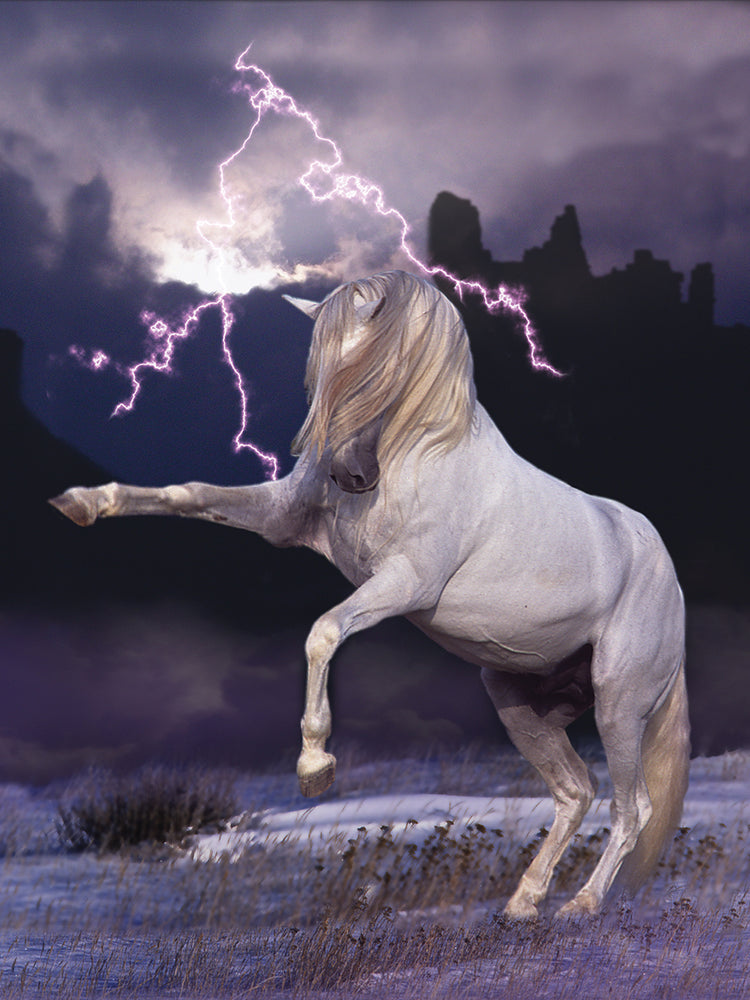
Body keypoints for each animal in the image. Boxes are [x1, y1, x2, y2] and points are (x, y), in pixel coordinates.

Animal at [50, 269, 689, 919]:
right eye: (321, 373)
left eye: (390, 372)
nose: (350, 474)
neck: (417, 454)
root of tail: (667, 574)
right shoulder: (283, 521)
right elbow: (190, 493)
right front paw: (83, 502)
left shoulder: (405, 582)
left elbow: (324, 632)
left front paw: (314, 767)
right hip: (519, 704)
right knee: (574, 792)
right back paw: (522, 903)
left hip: (618, 703)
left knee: (631, 807)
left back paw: (580, 905)